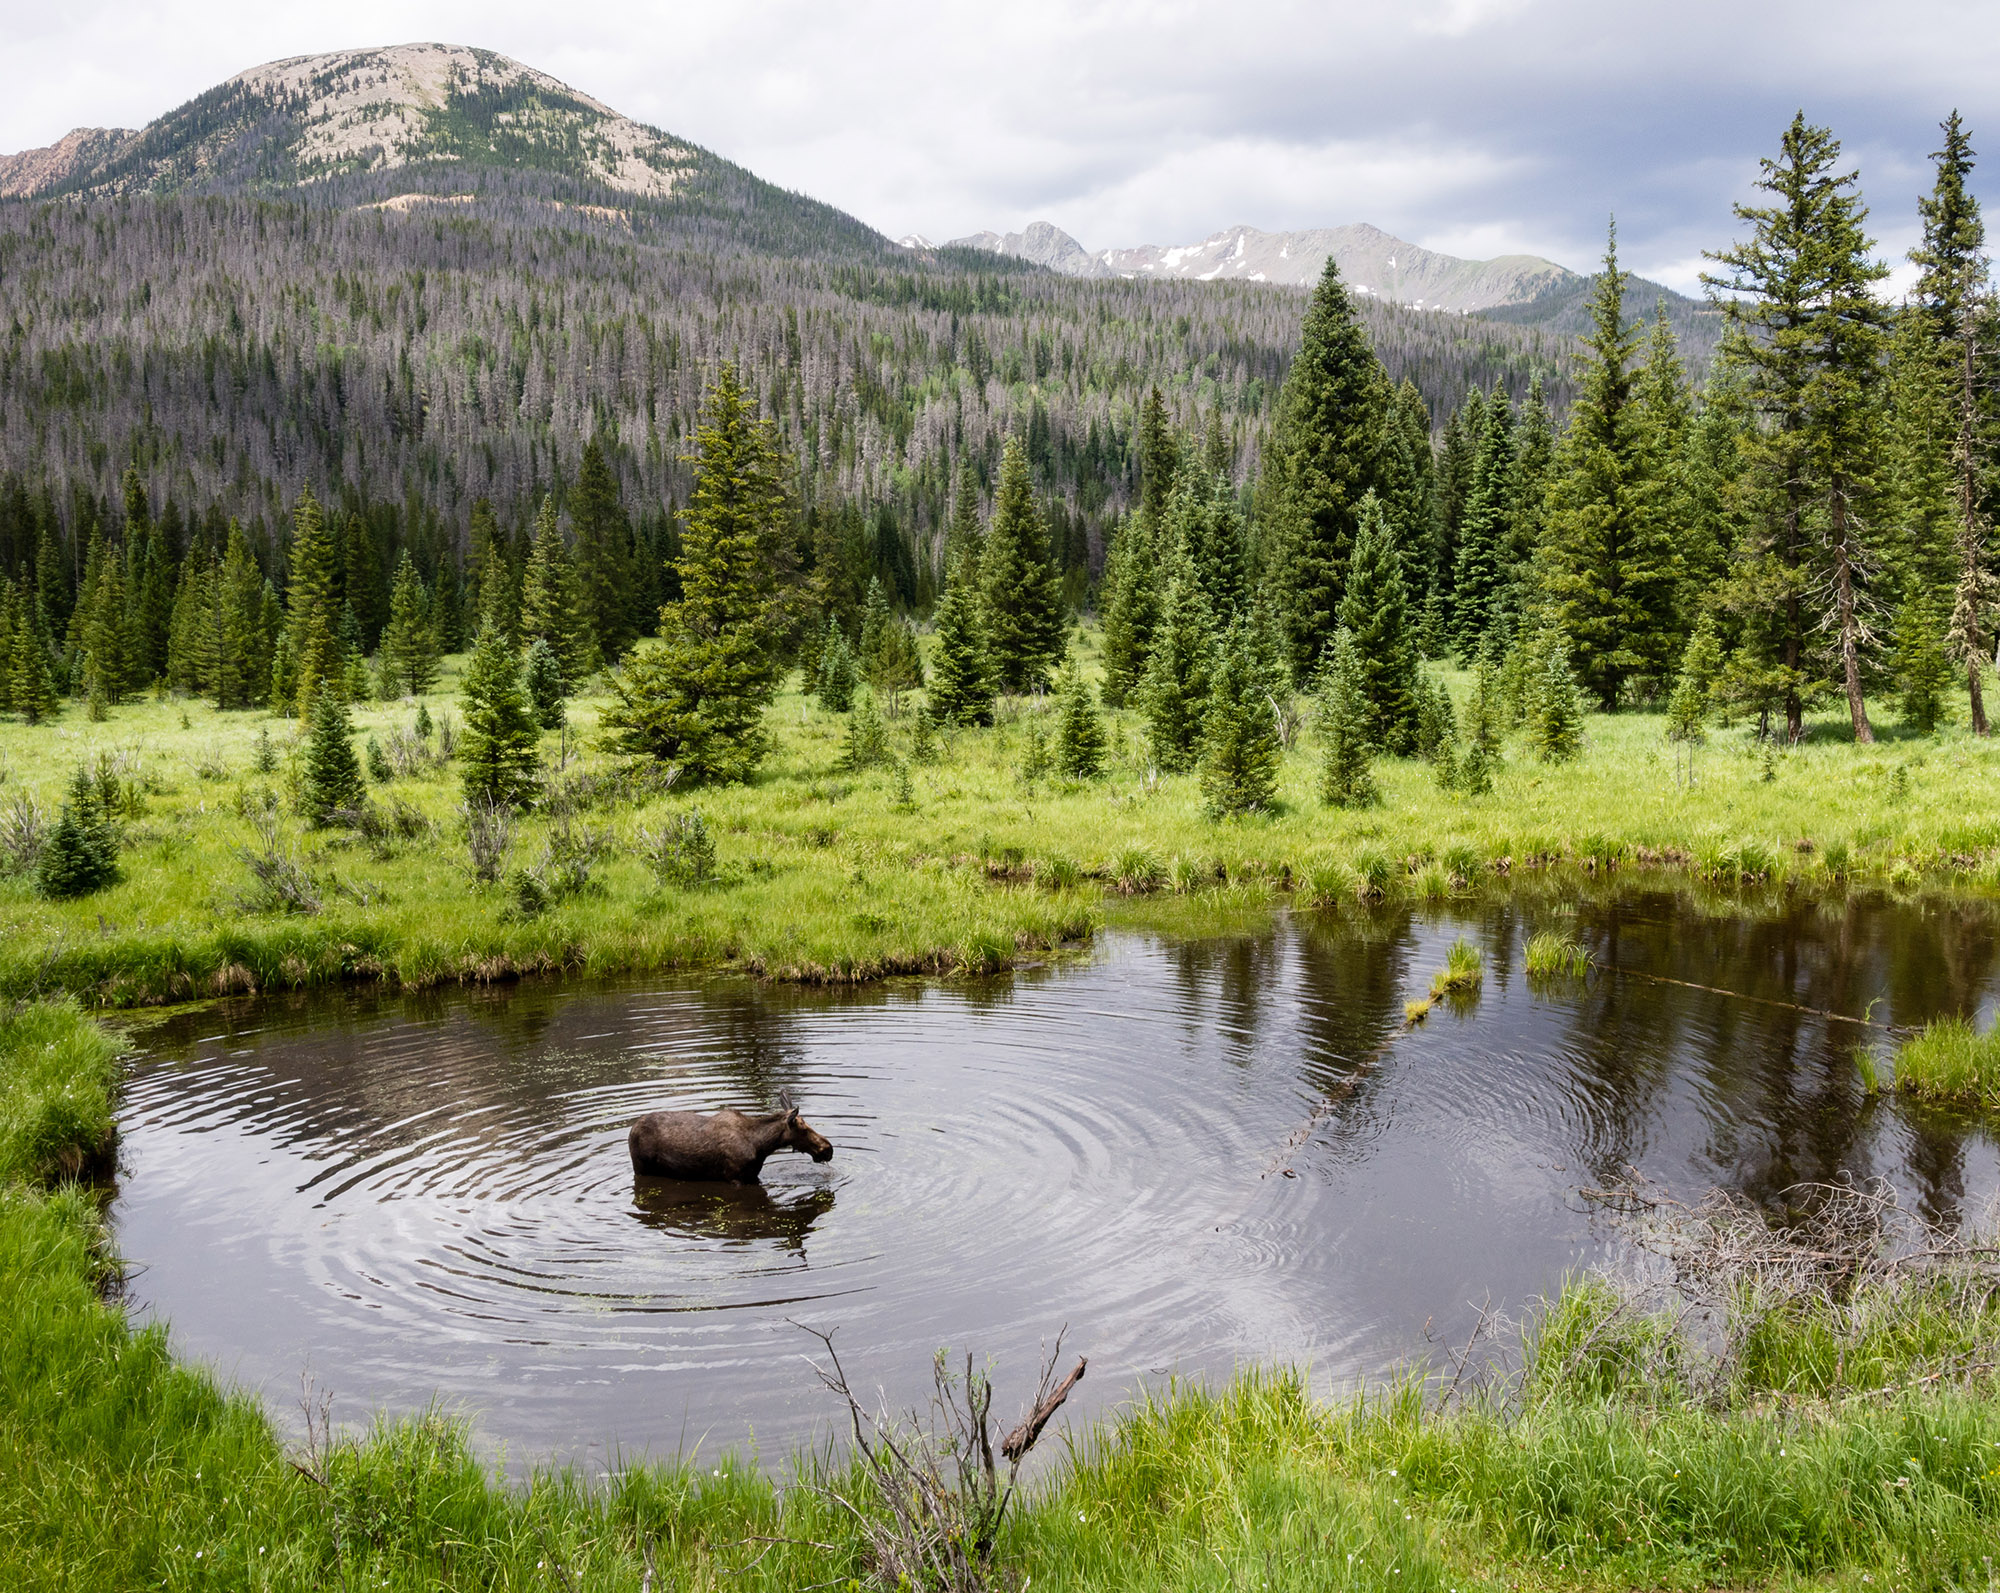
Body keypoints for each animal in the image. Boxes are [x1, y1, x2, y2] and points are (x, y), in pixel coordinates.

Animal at [632, 1088, 836, 1184]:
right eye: (804, 1129)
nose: (828, 1149)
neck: (761, 1146)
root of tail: (632, 1129)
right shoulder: (734, 1177)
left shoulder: (753, 1177)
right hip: (640, 1168)